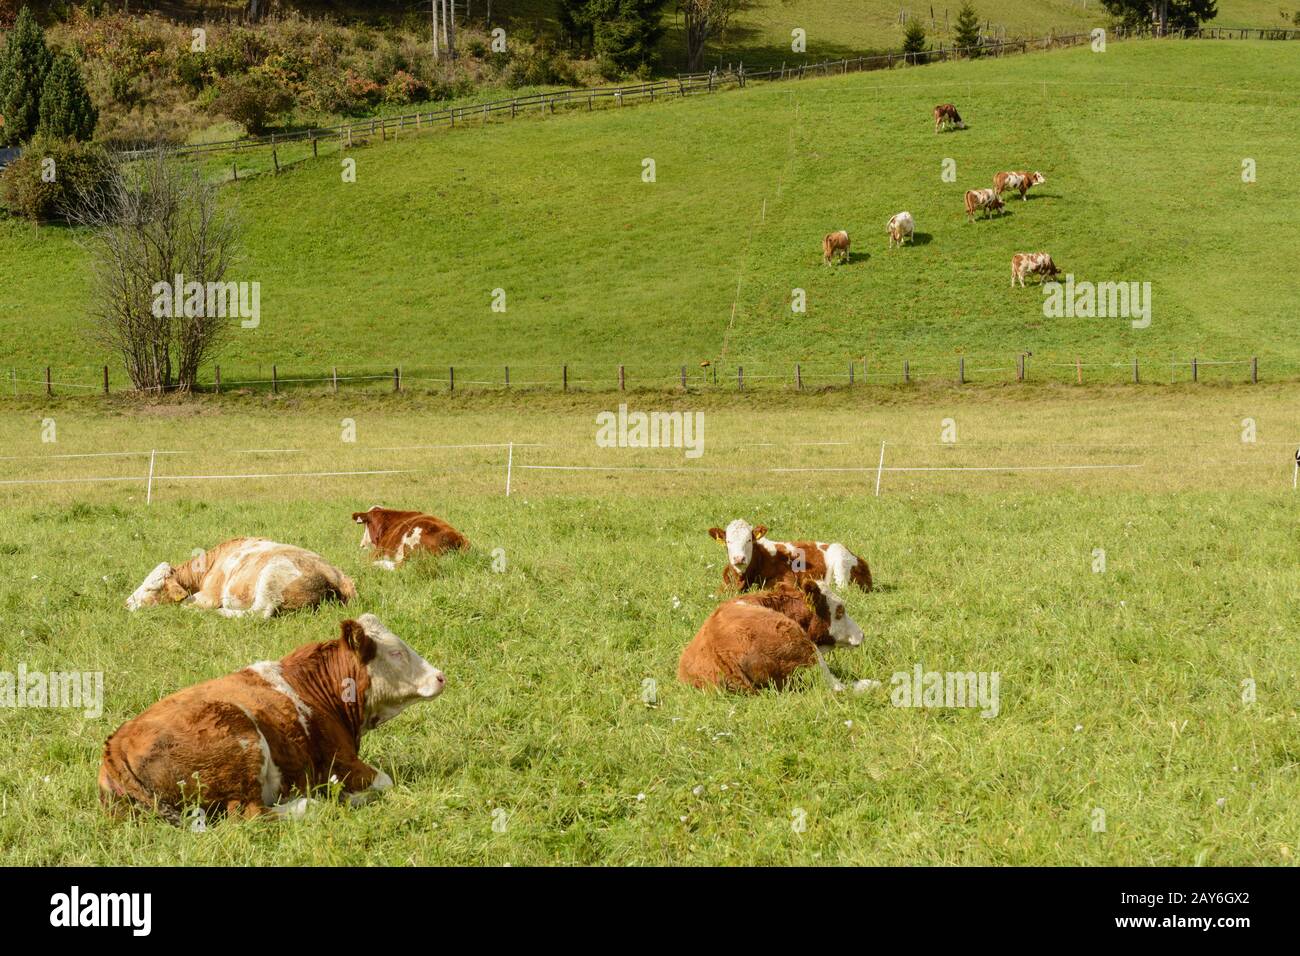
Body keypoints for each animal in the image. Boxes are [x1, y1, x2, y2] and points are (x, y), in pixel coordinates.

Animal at [97, 616, 447, 827]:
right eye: (396, 653)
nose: (440, 676)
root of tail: (116, 744)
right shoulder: (340, 761)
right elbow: (385, 782)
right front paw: (349, 795)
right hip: (242, 742)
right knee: (248, 815)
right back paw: (311, 805)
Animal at [124, 538, 356, 621]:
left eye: (150, 589)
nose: (126, 603)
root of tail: (337, 575)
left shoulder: (208, 596)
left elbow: (184, 606)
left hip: (270, 578)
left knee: (258, 614)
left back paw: (221, 612)